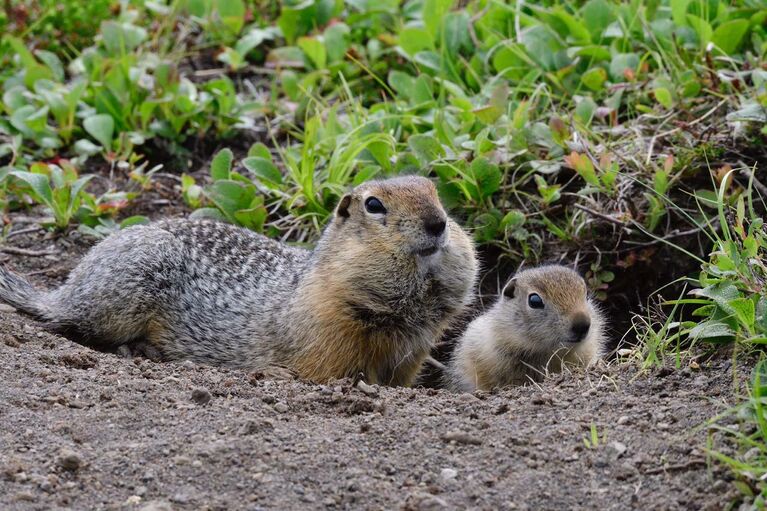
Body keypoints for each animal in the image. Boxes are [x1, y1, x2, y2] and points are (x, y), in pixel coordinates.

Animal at [1, 176, 480, 384]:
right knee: (71, 325)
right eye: (375, 205)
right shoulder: (330, 340)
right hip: (122, 291)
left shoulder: (412, 354)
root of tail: (65, 287)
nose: (439, 223)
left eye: (434, 191)